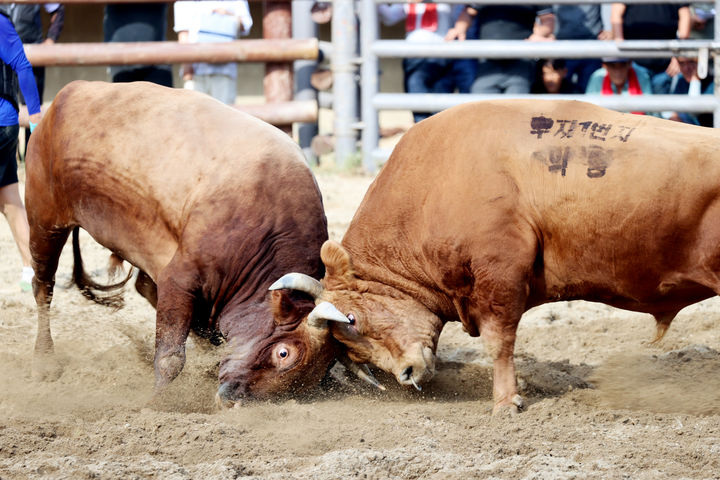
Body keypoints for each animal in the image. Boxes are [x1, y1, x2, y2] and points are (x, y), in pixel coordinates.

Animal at [23, 80, 348, 404]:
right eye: (284, 353)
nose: (233, 401)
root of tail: (67, 94)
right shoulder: (179, 279)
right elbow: (171, 356)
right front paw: (159, 400)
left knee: (143, 286)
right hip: (45, 222)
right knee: (44, 286)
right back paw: (43, 362)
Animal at [276, 100, 720, 412]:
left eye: (352, 320)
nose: (406, 374)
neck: (431, 186)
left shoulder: (500, 278)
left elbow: (500, 342)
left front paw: (506, 401)